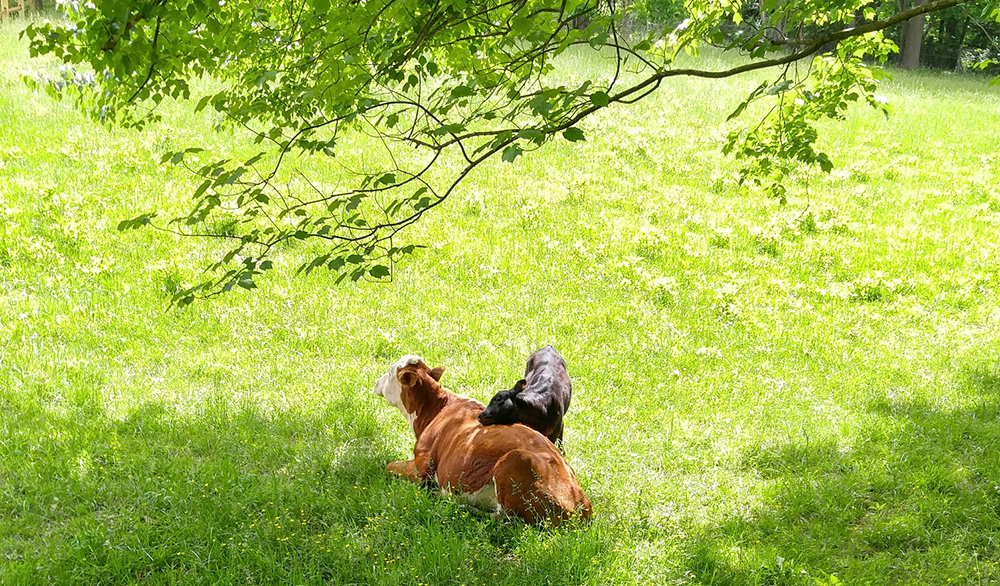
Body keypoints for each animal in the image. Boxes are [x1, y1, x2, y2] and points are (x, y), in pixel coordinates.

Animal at [376, 354, 592, 524]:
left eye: (389, 373)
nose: (376, 382)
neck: (436, 410)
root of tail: (580, 507)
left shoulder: (422, 463)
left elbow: (389, 466)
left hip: (516, 460)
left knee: (503, 518)